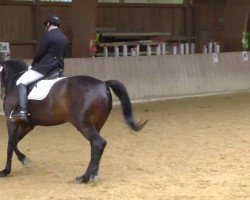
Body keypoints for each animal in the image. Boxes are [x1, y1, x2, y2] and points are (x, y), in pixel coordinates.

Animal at [0, 58, 146, 183]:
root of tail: (103, 83)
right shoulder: (27, 125)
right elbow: (14, 142)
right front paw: (24, 159)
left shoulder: (11, 121)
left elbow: (10, 144)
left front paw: (6, 171)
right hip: (97, 124)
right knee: (95, 146)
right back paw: (93, 175)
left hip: (82, 123)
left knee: (98, 143)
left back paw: (84, 178)